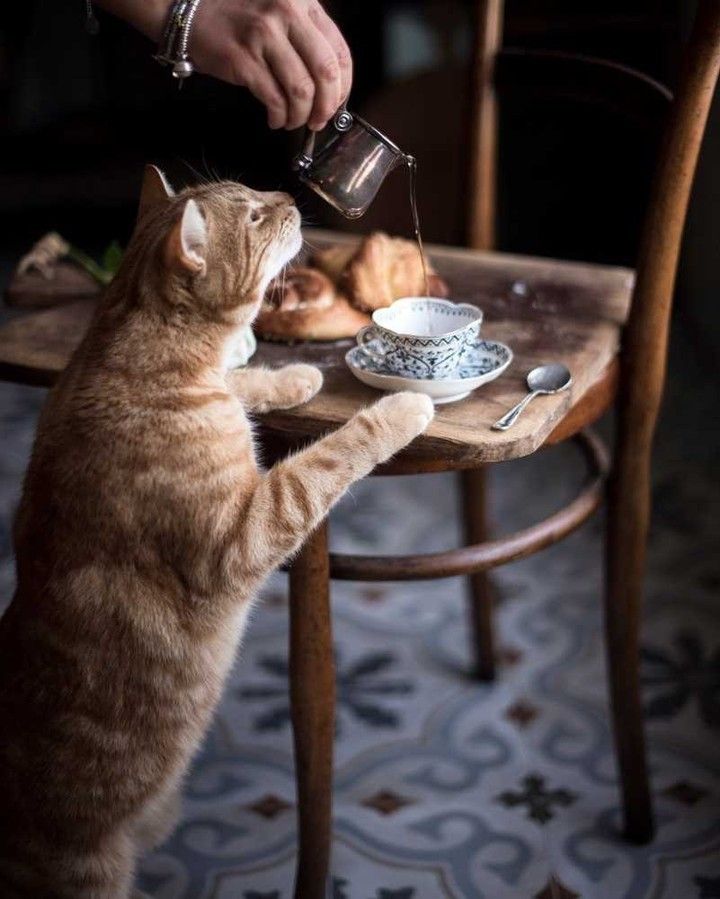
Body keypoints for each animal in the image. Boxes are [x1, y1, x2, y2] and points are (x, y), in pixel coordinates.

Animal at [0, 167, 434, 892]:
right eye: (257, 216)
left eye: (256, 193)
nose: (290, 199)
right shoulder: (246, 532)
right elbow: (330, 456)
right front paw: (402, 406)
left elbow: (243, 382)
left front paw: (291, 375)